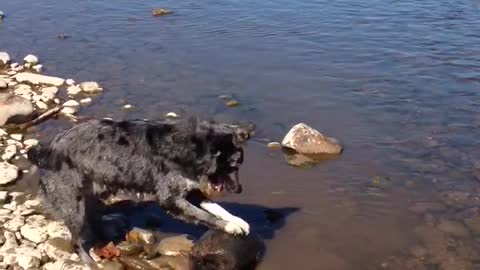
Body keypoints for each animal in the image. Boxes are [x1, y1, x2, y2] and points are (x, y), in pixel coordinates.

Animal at [27, 117, 255, 266]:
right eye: (233, 166)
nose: (240, 189)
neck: (192, 148)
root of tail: (45, 149)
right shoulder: (170, 198)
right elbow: (204, 215)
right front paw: (229, 227)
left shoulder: (189, 191)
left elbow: (216, 207)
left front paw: (237, 220)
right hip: (74, 207)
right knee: (75, 242)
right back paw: (90, 262)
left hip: (91, 197)